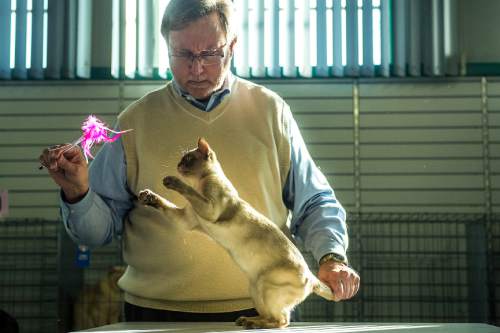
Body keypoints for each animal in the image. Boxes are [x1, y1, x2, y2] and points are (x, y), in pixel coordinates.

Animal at [138, 137, 336, 326]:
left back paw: (254, 324)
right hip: (255, 290)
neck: (199, 183)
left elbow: (188, 191)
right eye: (182, 159)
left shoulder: (209, 209)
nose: (178, 165)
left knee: (281, 321)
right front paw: (148, 196)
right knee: (272, 316)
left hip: (265, 288)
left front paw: (171, 180)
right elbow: (165, 203)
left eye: (188, 159)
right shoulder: (186, 219)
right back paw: (248, 320)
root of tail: (311, 277)